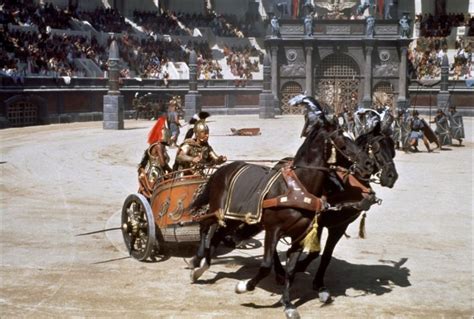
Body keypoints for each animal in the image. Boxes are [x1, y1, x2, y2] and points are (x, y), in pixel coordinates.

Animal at [188, 117, 374, 319]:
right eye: (342, 141)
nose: (368, 163)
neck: (299, 188)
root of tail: (222, 170)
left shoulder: (302, 234)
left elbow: (292, 270)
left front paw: (288, 303)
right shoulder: (273, 230)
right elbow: (265, 265)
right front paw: (244, 286)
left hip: (233, 219)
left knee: (217, 236)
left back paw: (203, 266)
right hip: (219, 211)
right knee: (204, 224)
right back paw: (197, 262)